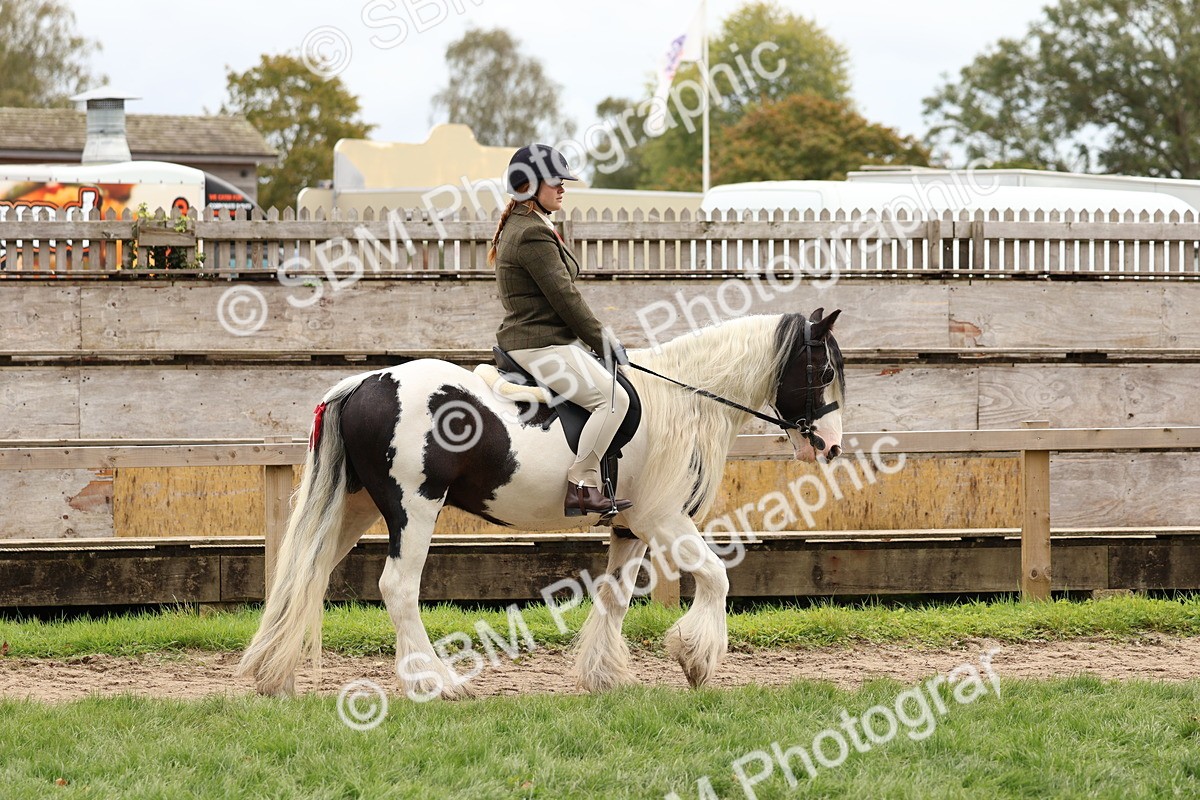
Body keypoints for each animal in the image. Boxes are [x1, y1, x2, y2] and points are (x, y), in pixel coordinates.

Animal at [238, 309, 846, 699]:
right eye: (822, 371)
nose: (831, 447)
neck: (683, 399)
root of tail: (365, 382)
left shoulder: (631, 527)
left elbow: (615, 597)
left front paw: (604, 677)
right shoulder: (663, 519)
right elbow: (717, 577)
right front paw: (695, 660)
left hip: (356, 507)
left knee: (306, 573)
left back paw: (273, 673)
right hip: (414, 509)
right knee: (398, 588)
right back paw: (434, 683)